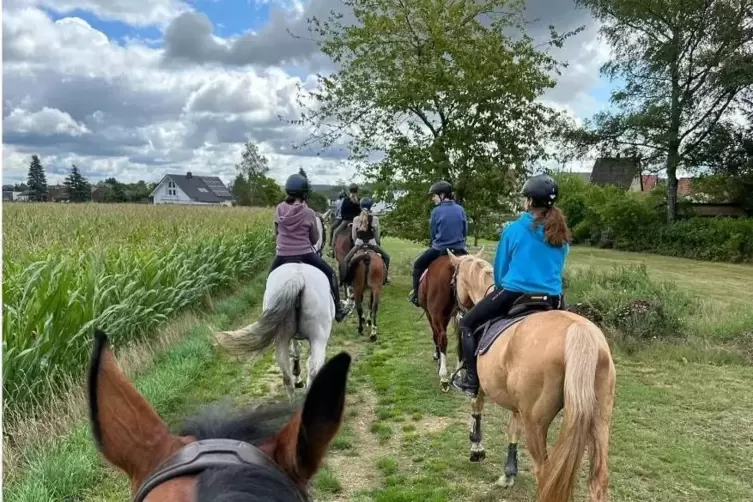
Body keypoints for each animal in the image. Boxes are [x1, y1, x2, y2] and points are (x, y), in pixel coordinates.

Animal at [213, 260, 334, 398]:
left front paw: (297, 378)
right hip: (319, 338)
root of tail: (298, 278)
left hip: (283, 338)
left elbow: (296, 351)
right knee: (313, 369)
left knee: (287, 376)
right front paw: (299, 379)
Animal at [446, 251, 616, 502]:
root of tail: (580, 332)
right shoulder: (519, 406)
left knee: (545, 475)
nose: (456, 310)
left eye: (454, 280)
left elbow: (476, 409)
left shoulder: (480, 386)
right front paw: (509, 474)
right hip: (600, 419)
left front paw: (477, 449)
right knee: (598, 480)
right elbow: (512, 429)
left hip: (537, 424)